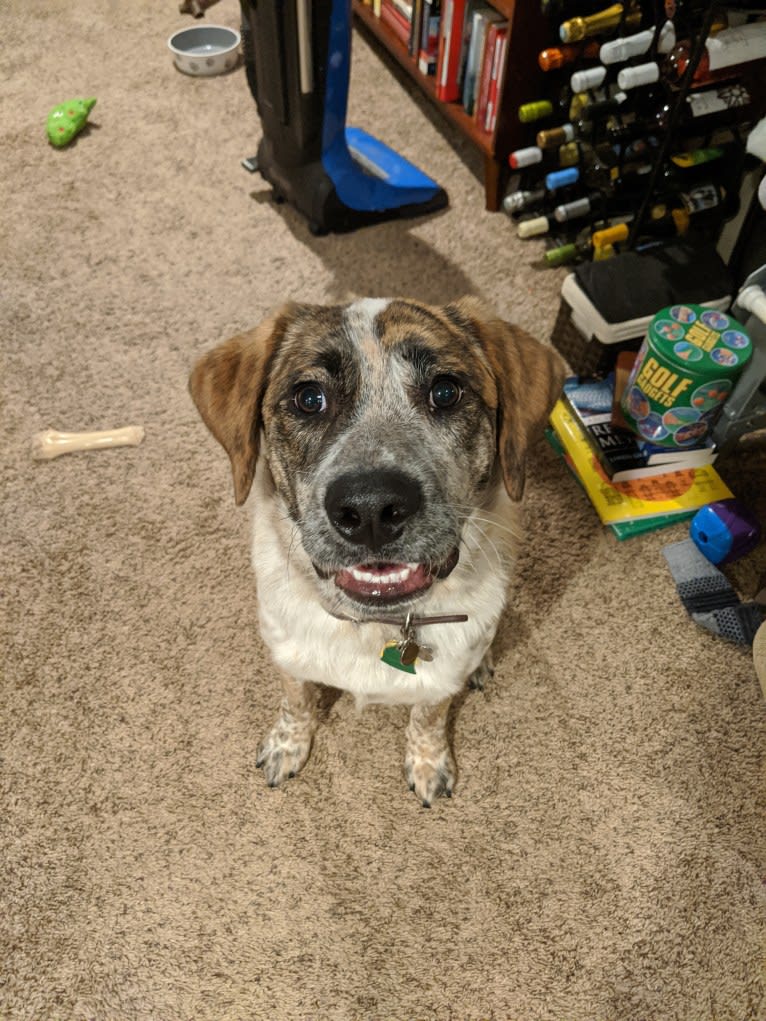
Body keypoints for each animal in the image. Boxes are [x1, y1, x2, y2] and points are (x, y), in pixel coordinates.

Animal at [189, 296, 567, 804]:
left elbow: (428, 718)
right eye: (309, 398)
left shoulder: (439, 683)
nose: (370, 509)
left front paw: (429, 765)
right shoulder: (288, 654)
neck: (374, 627)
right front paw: (287, 746)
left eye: (445, 391)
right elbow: (297, 701)